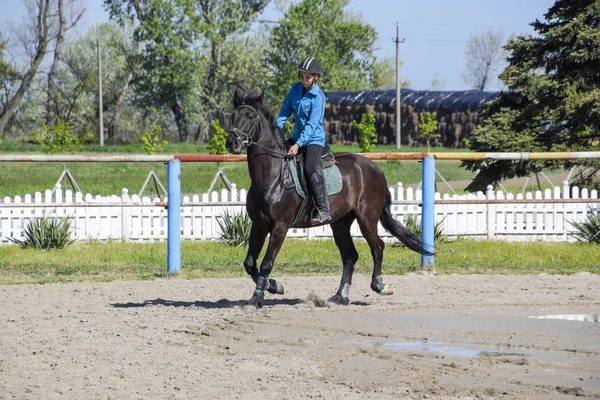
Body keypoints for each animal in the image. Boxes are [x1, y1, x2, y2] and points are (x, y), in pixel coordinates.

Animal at [226, 90, 432, 310]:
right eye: (232, 116)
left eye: (250, 117)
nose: (232, 144)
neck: (271, 176)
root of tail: (374, 168)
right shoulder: (259, 225)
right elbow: (249, 263)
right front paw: (273, 286)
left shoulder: (280, 227)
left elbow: (266, 263)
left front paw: (256, 299)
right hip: (340, 223)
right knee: (350, 256)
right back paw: (340, 296)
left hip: (367, 218)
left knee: (378, 247)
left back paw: (380, 285)